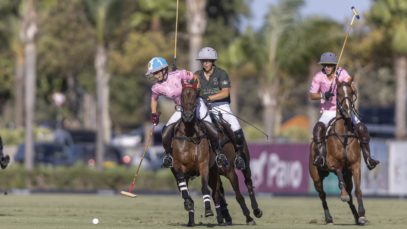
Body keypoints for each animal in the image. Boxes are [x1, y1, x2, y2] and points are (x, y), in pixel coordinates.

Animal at [171, 81, 222, 226]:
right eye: (181, 96)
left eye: (195, 97)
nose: (187, 116)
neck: (189, 134)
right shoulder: (178, 166)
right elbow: (183, 188)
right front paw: (188, 203)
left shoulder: (203, 164)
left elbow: (205, 188)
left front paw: (208, 211)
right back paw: (190, 220)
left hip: (214, 170)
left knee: (216, 194)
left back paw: (220, 219)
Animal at [310, 79, 368, 225]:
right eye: (339, 93)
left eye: (351, 92)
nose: (347, 111)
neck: (344, 135)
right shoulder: (333, 164)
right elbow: (340, 179)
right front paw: (343, 196)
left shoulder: (355, 165)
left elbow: (358, 190)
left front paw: (362, 215)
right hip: (316, 176)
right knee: (322, 195)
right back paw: (329, 218)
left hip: (347, 174)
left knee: (350, 192)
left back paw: (357, 218)